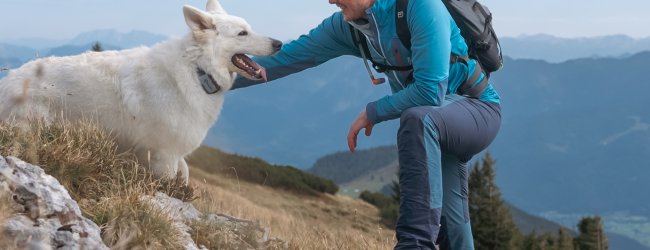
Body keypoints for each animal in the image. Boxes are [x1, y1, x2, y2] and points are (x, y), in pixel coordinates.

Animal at [0, 0, 280, 184]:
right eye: (242, 33)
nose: (279, 43)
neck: (197, 69)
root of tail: (8, 82)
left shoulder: (172, 155)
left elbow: (185, 173)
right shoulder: (165, 156)